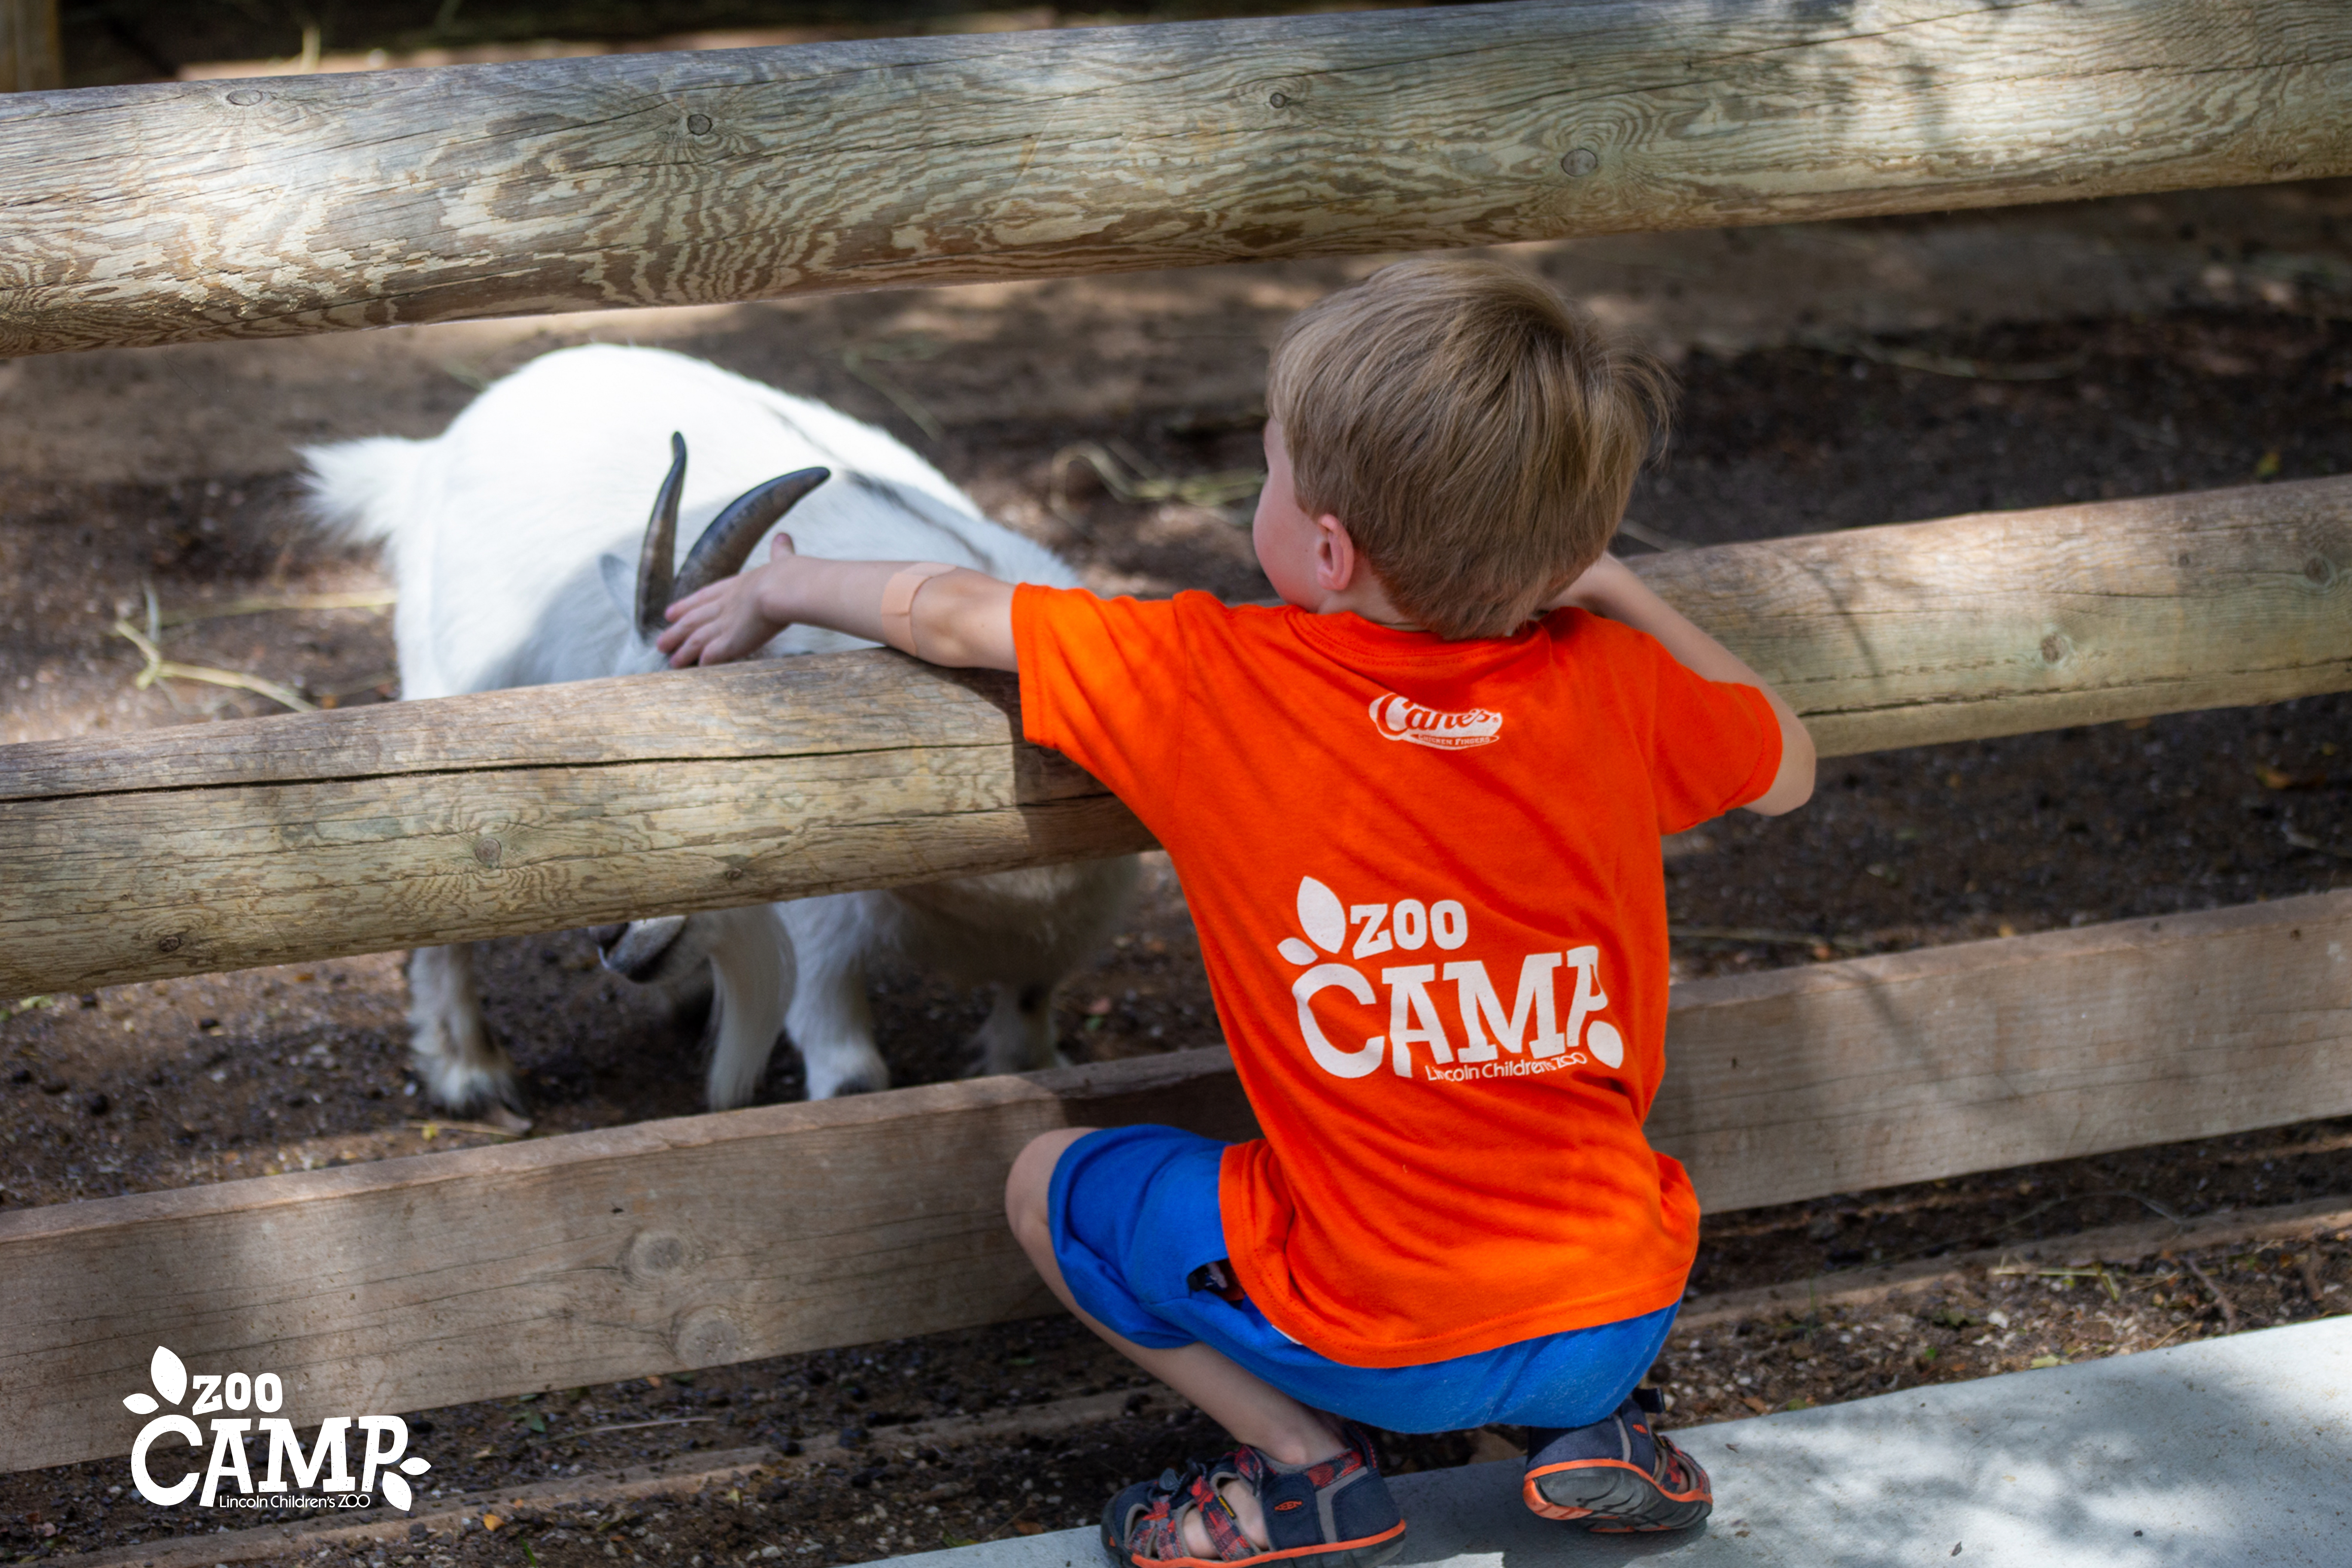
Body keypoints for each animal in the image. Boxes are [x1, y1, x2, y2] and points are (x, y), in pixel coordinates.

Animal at [303, 350, 1138, 1124]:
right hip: (448, 681)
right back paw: (468, 1074)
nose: (611, 933)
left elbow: (1030, 1050)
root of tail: (427, 457)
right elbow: (854, 1082)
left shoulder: (1058, 944)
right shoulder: (822, 940)